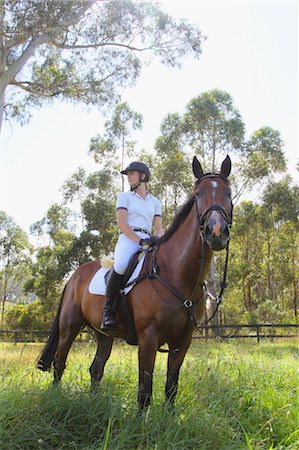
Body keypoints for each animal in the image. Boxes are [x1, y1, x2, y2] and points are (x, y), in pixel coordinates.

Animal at [37, 155, 234, 408]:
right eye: (198, 194)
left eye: (228, 193)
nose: (216, 232)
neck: (176, 275)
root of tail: (75, 275)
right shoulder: (148, 338)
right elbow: (144, 392)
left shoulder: (182, 341)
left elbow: (171, 388)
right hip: (69, 326)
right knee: (59, 364)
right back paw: (56, 400)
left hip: (104, 335)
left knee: (96, 368)